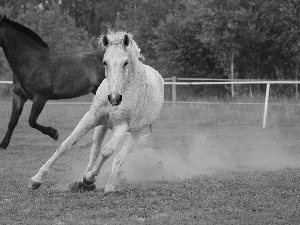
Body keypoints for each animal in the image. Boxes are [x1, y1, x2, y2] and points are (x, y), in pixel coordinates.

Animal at [0, 15, 105, 149]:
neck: (31, 61)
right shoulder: (19, 96)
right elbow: (13, 121)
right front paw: (3, 144)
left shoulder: (40, 97)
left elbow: (31, 121)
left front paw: (54, 133)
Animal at [28, 30, 164, 194]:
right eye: (105, 62)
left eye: (125, 62)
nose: (114, 98)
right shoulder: (91, 118)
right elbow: (66, 144)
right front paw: (36, 179)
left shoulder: (122, 126)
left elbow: (108, 151)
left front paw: (90, 178)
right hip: (102, 126)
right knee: (95, 150)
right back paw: (82, 183)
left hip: (136, 132)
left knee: (119, 157)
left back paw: (107, 185)